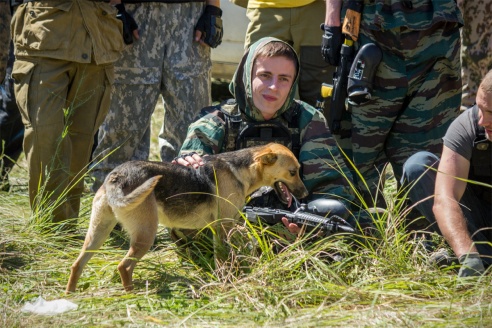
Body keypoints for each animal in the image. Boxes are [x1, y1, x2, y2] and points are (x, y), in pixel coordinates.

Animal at [66, 144, 308, 292]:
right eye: (293, 172)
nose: (306, 194)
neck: (242, 170)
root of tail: (117, 176)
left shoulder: (219, 228)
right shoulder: (224, 227)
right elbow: (226, 257)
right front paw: (227, 279)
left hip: (98, 232)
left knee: (77, 265)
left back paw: (71, 294)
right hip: (145, 234)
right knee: (124, 267)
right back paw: (131, 294)